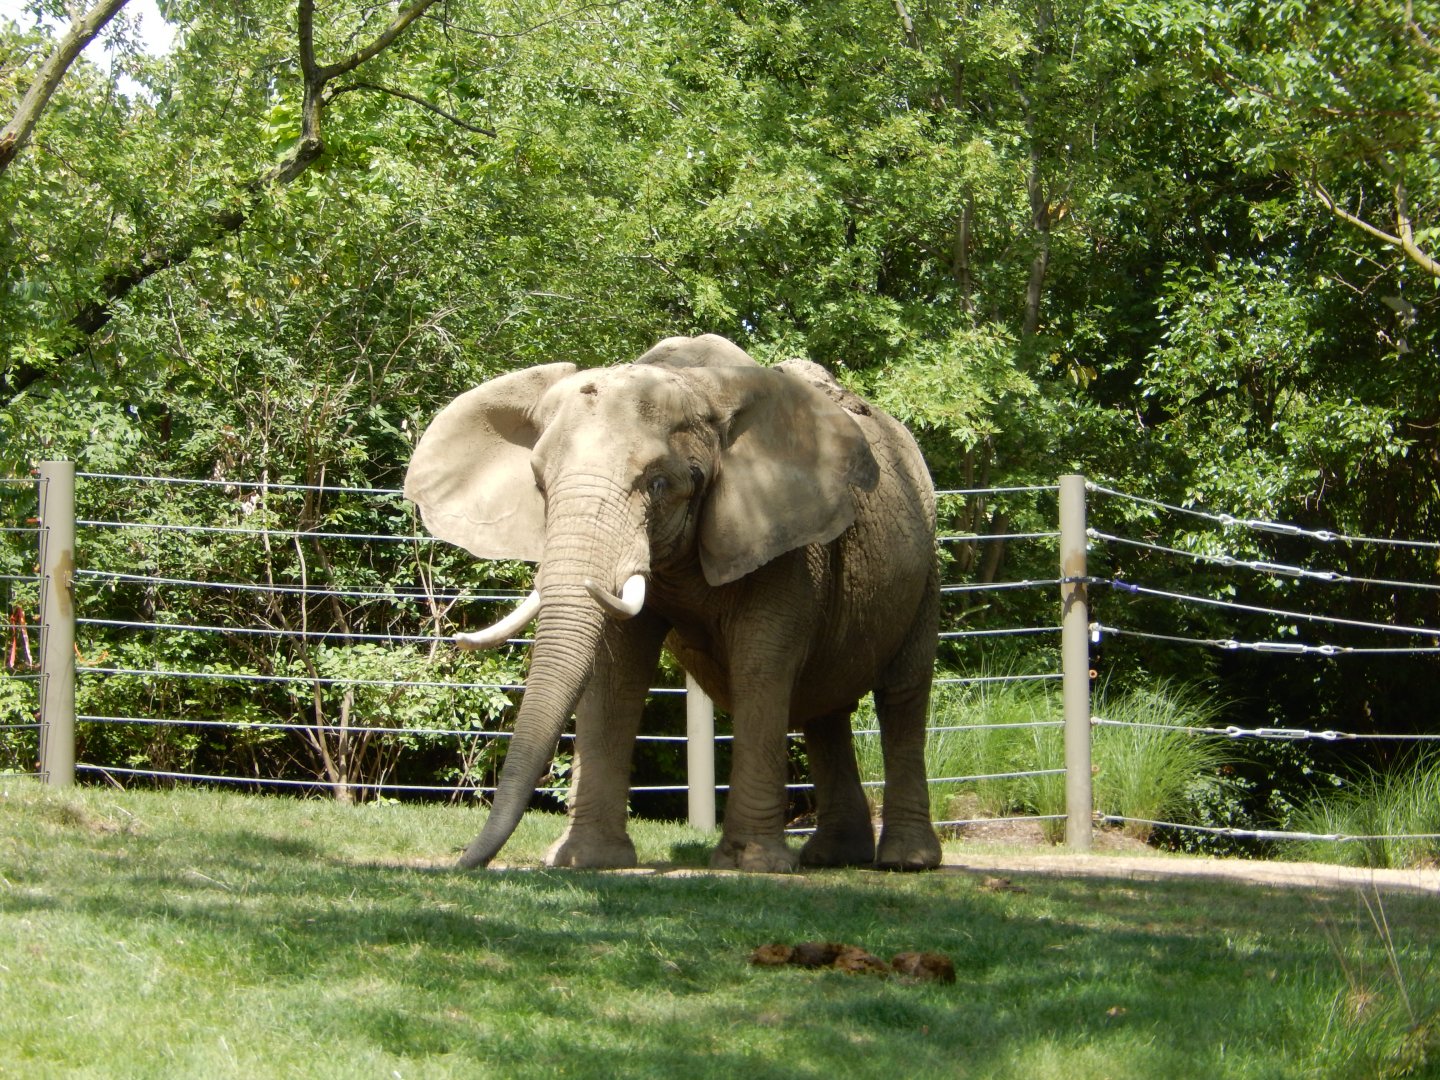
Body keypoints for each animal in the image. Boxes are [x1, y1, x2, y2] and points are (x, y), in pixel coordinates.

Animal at [404, 333, 943, 873]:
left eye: (659, 484)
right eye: (539, 483)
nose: (462, 863)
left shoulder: (785, 540)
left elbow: (760, 666)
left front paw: (750, 864)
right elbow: (616, 670)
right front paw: (586, 860)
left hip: (926, 559)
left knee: (902, 695)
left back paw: (906, 861)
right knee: (826, 711)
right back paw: (833, 856)